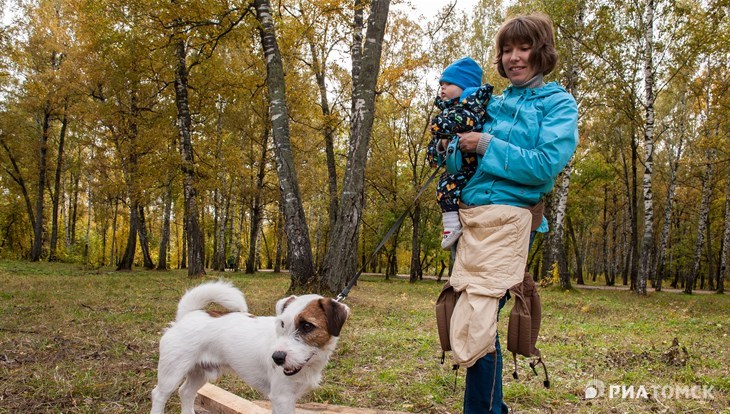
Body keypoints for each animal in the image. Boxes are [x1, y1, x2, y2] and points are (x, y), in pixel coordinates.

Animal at [149, 280, 348, 412]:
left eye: (307, 326)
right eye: (282, 324)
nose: (276, 358)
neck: (309, 364)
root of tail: (187, 315)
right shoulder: (281, 398)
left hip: (200, 372)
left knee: (186, 393)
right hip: (171, 373)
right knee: (159, 395)